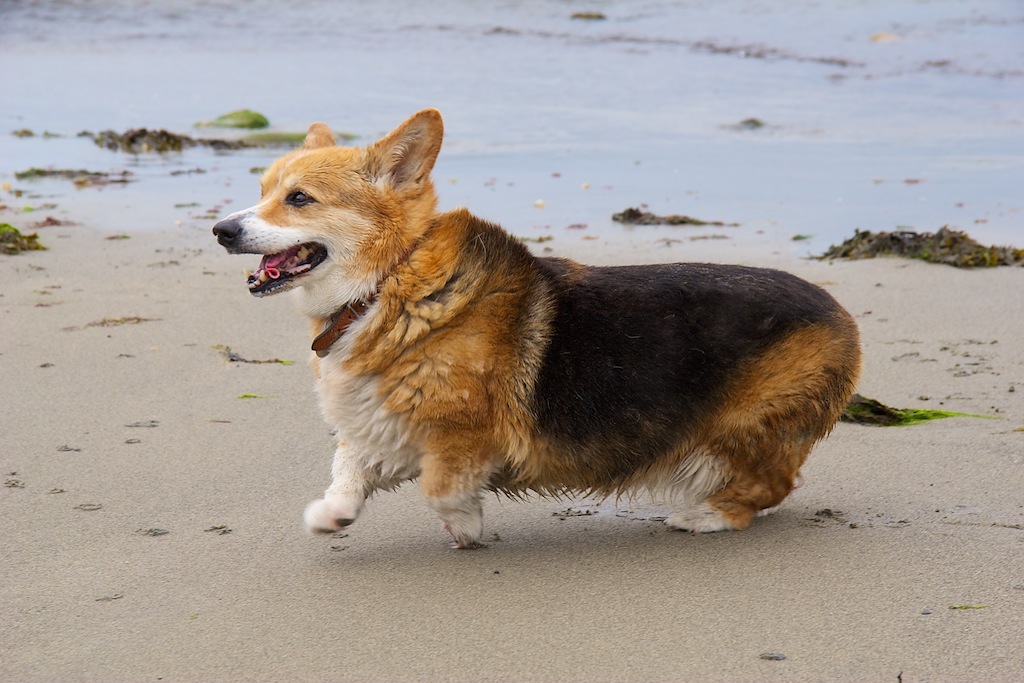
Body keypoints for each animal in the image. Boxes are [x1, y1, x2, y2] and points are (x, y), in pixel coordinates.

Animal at [214, 111, 864, 548]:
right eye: (262, 191)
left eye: (299, 199)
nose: (221, 229)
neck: (390, 282)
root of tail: (843, 315)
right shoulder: (379, 419)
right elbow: (348, 468)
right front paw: (333, 514)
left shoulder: (464, 431)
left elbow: (440, 486)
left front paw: (466, 526)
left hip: (739, 428)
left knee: (772, 482)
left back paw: (705, 515)